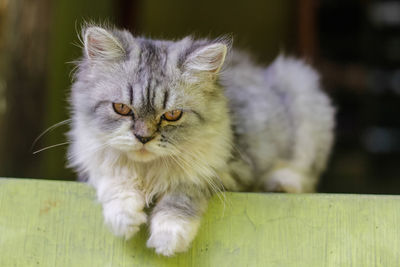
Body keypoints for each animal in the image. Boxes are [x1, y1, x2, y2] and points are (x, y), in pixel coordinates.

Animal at [68, 25, 334, 258]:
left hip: (301, 89)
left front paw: (168, 238)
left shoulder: (219, 173)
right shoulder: (95, 163)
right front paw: (124, 220)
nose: (143, 138)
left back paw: (281, 184)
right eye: (121, 108)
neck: (148, 170)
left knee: (303, 174)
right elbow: (116, 181)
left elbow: (180, 194)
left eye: (172, 115)